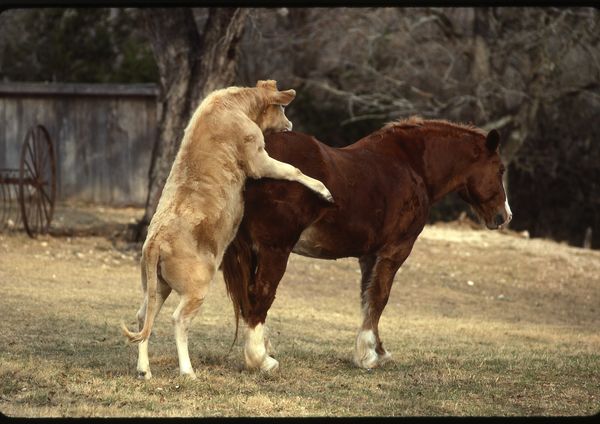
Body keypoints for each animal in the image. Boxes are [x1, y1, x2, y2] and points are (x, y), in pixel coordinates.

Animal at [223, 116, 512, 372]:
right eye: (500, 170)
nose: (505, 216)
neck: (411, 165)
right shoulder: (395, 251)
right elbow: (380, 297)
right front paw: (368, 357)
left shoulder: (369, 256)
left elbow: (367, 298)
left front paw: (378, 351)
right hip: (275, 250)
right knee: (262, 293)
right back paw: (261, 360)